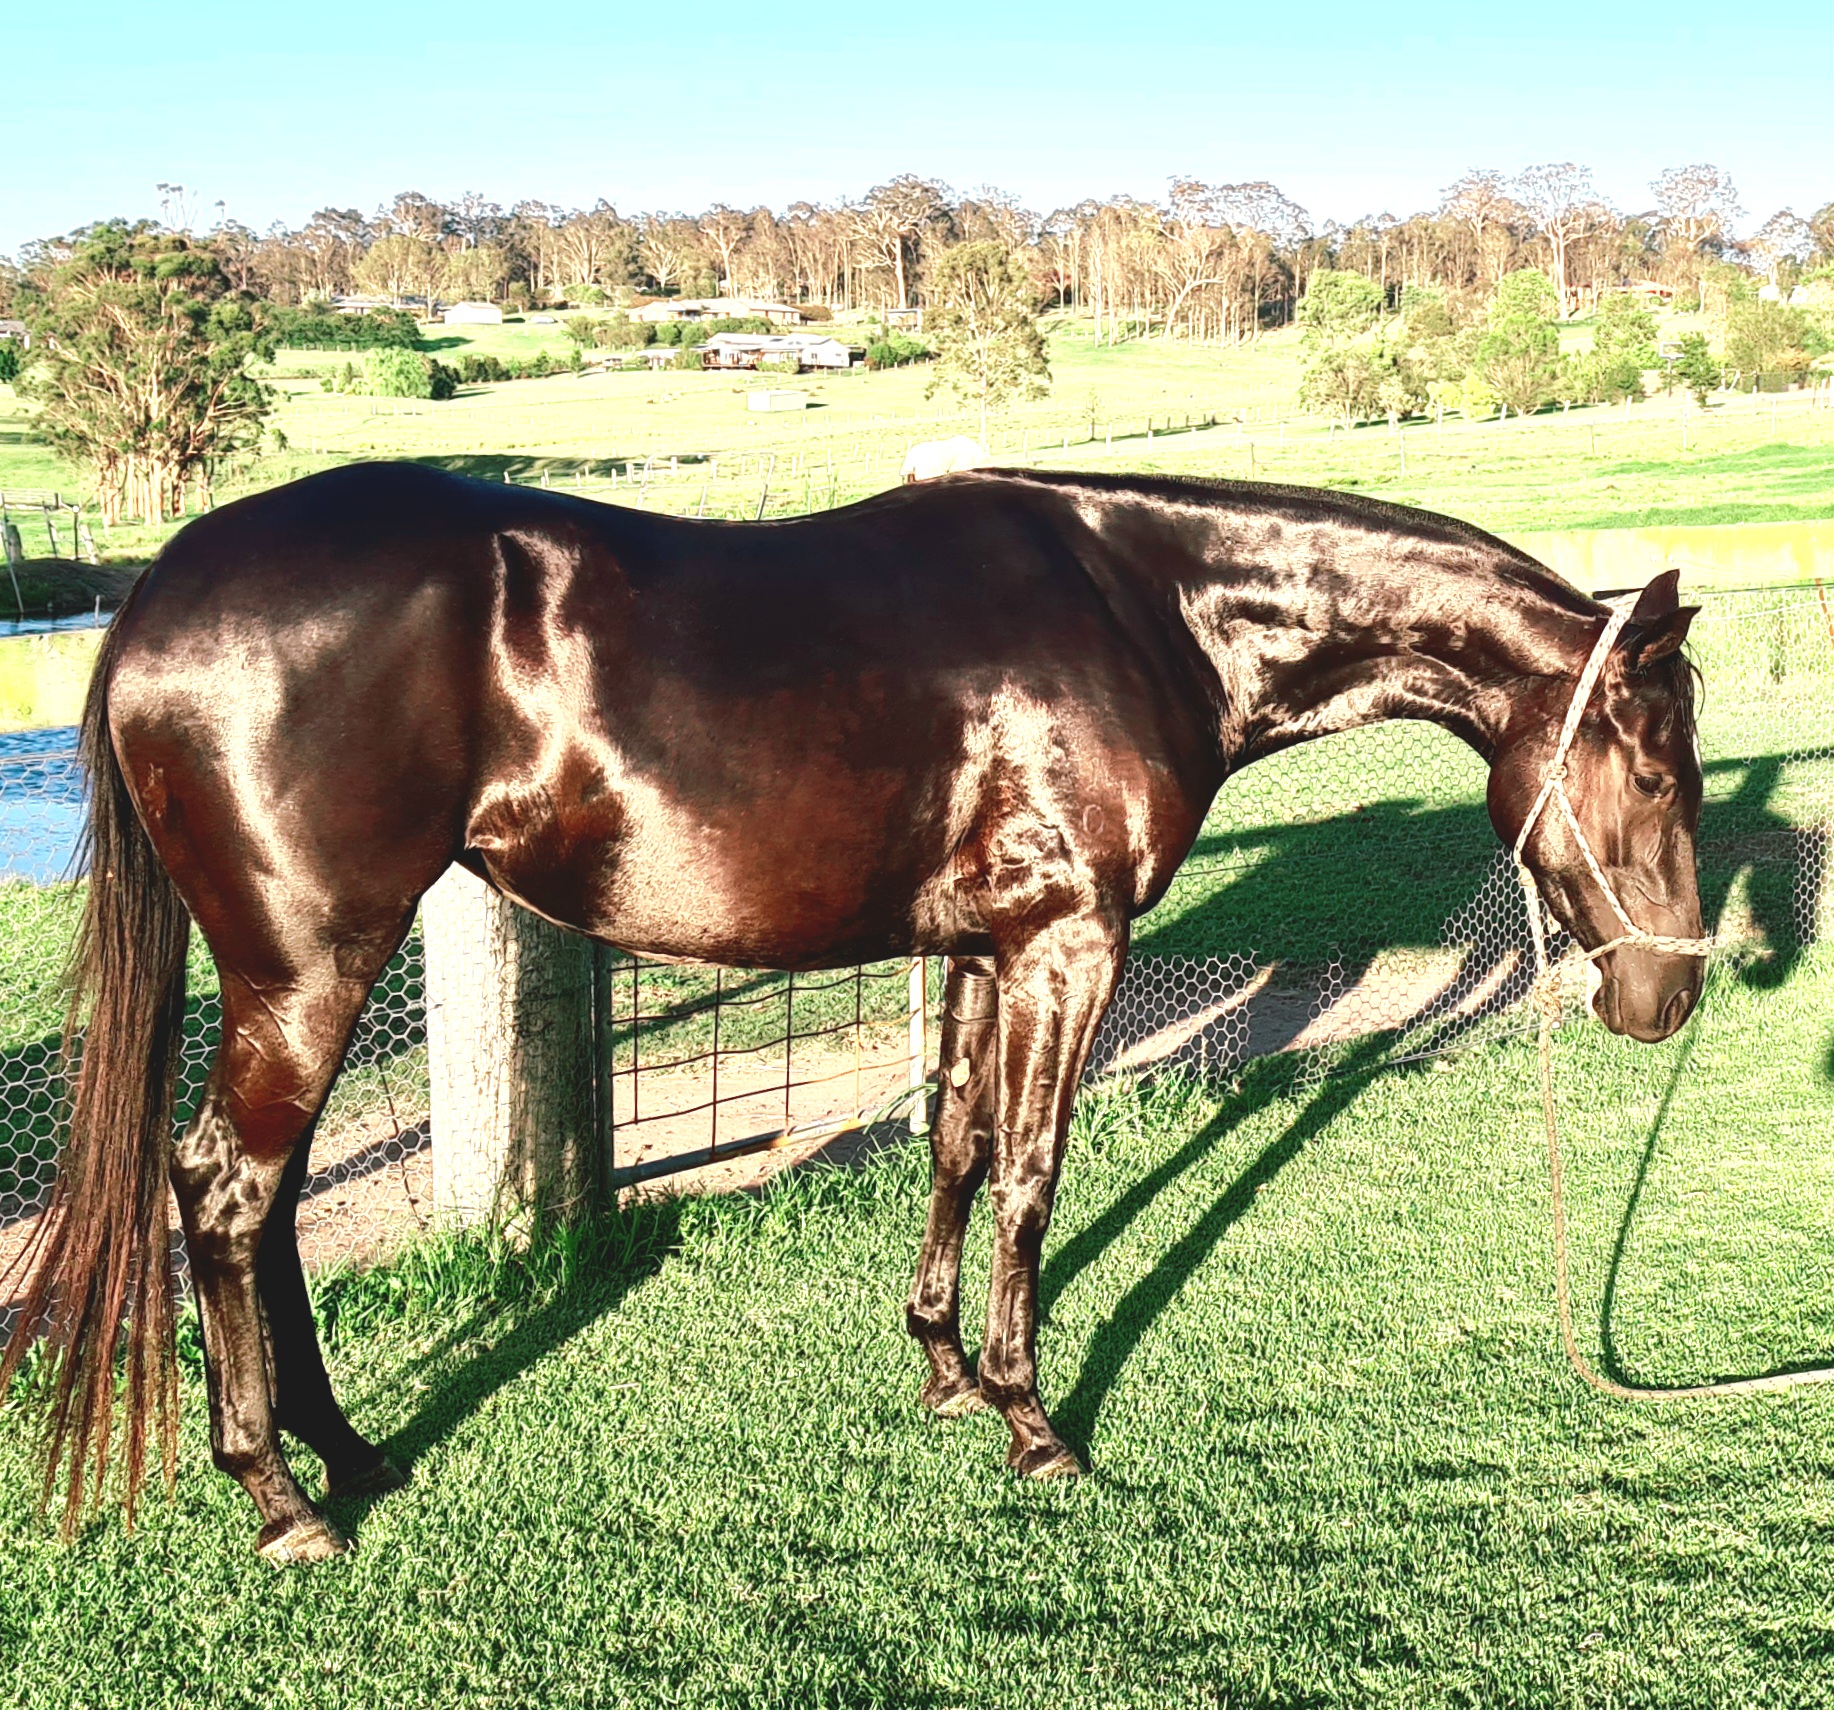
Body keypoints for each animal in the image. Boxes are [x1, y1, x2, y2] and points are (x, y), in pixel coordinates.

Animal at [1, 463, 1704, 1563]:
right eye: (1649, 759)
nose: (1667, 987)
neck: (1144, 603)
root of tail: (150, 602)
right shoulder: (1068, 946)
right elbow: (1029, 1175)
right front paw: (1034, 1424)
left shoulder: (983, 948)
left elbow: (953, 1146)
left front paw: (944, 1370)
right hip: (309, 970)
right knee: (227, 1192)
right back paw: (282, 1501)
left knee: (266, 1203)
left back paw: (349, 1453)